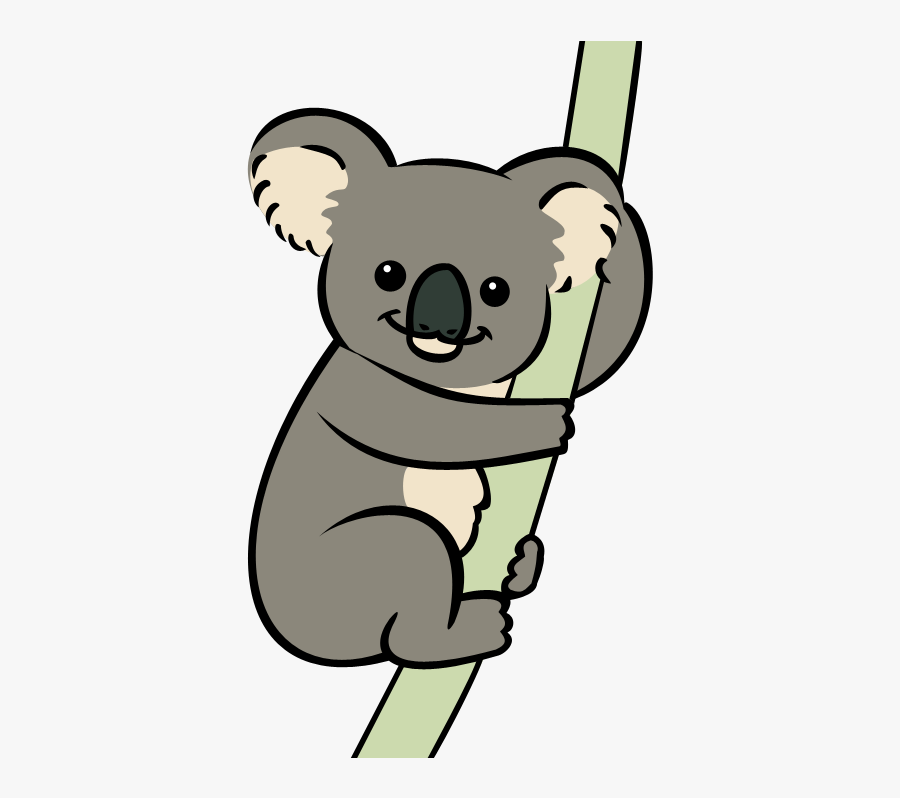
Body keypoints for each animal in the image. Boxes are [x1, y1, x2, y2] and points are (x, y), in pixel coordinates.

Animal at [246, 109, 650, 668]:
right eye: (388, 272)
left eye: (496, 289)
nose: (438, 324)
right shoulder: (360, 384)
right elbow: (434, 430)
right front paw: (549, 420)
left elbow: (596, 354)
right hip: (347, 567)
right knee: (410, 564)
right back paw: (469, 631)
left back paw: (521, 565)